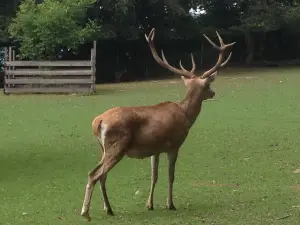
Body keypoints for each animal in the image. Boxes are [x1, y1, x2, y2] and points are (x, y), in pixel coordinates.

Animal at [81, 26, 236, 221]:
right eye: (207, 85)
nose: (213, 92)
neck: (186, 115)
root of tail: (98, 121)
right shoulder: (174, 145)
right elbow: (171, 175)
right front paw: (170, 204)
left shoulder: (154, 149)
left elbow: (154, 176)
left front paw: (150, 204)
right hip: (117, 146)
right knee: (94, 174)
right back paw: (86, 213)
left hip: (103, 148)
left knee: (102, 175)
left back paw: (108, 209)